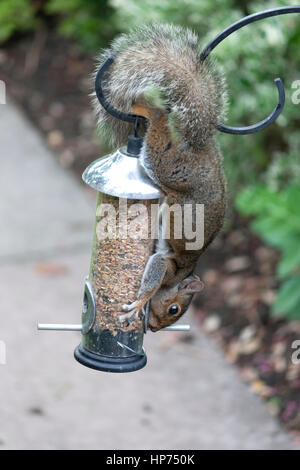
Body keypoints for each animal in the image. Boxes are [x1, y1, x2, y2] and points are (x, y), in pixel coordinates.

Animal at [92, 22, 226, 330]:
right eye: (174, 309)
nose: (153, 328)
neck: (182, 274)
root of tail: (197, 146)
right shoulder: (168, 265)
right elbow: (154, 277)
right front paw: (139, 303)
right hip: (164, 164)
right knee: (159, 116)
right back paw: (141, 106)